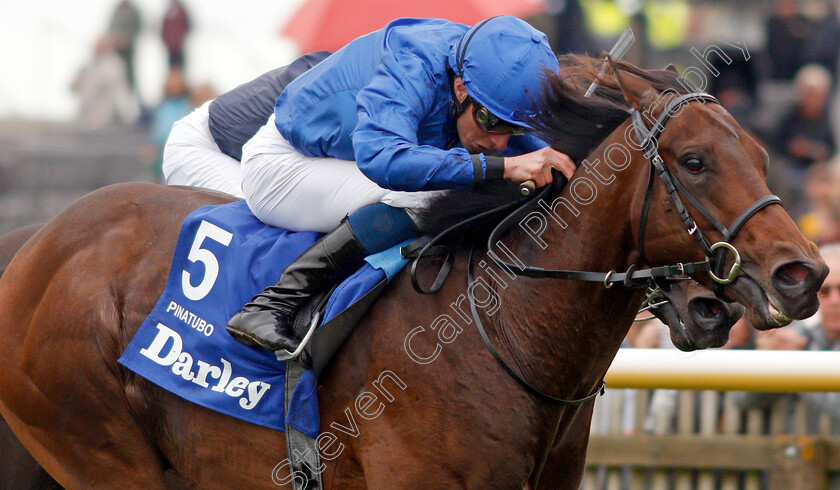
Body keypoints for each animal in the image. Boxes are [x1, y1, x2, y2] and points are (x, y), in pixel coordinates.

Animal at [0, 57, 824, 486]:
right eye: (694, 161)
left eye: (761, 155)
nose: (803, 274)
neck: (504, 329)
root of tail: (36, 243)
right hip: (100, 448)